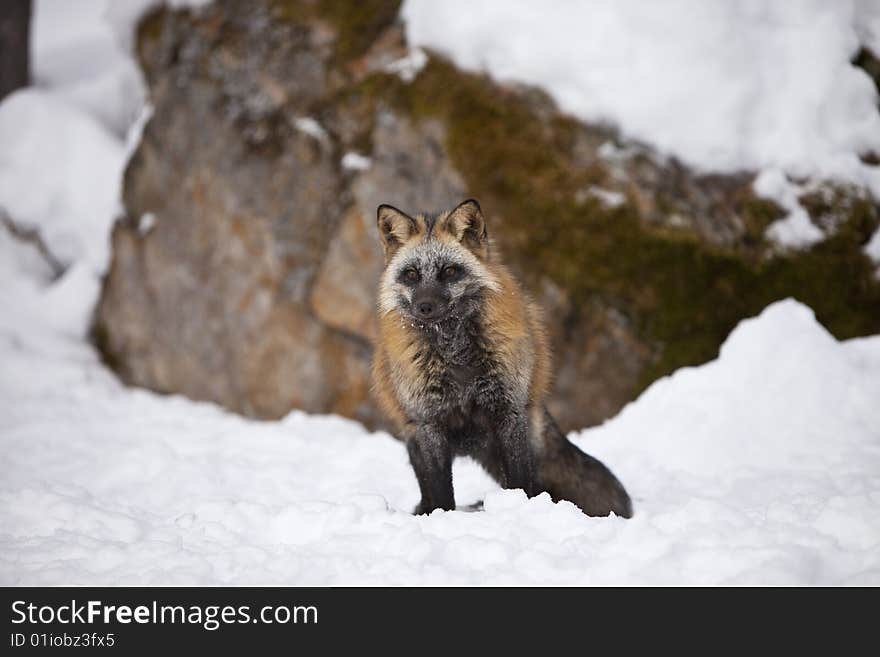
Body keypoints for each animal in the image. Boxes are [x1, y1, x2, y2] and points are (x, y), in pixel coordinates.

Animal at [372, 197, 632, 516]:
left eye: (449, 271)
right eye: (411, 275)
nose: (425, 306)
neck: (454, 355)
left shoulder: (508, 412)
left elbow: (519, 482)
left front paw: (519, 509)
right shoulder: (429, 424)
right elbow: (441, 492)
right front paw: (442, 517)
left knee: (536, 482)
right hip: (414, 440)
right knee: (427, 491)